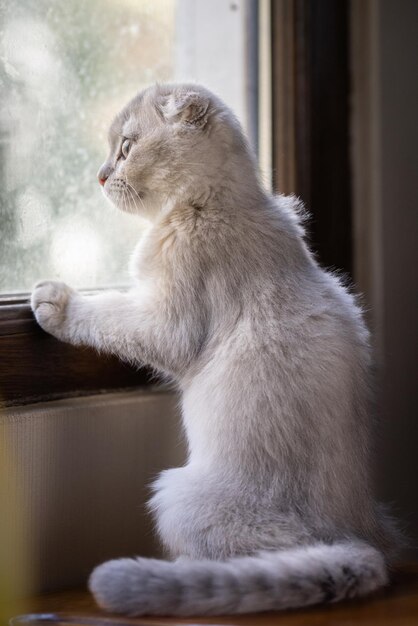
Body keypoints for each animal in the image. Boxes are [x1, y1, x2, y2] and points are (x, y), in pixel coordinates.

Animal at [30, 83, 398, 616]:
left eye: (125, 148)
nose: (99, 175)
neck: (215, 205)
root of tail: (355, 540)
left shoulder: (164, 322)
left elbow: (105, 313)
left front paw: (54, 301)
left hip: (174, 496)